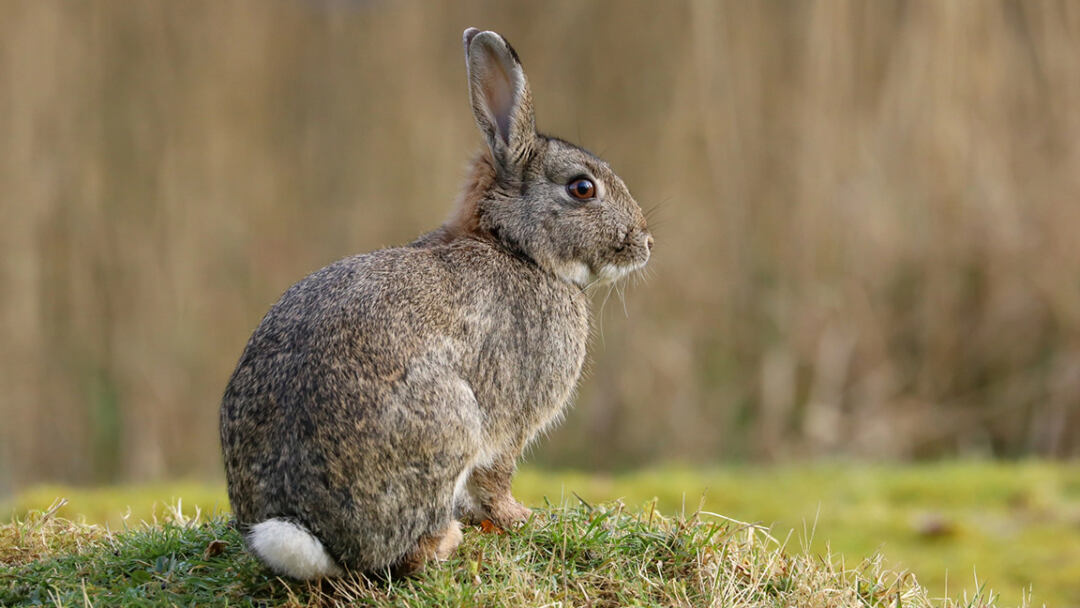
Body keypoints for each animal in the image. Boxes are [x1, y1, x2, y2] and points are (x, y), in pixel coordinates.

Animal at [219, 27, 648, 578]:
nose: (645, 242)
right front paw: (520, 518)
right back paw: (446, 542)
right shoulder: (511, 422)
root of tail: (308, 531)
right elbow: (496, 479)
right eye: (582, 188)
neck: (516, 247)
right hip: (451, 422)